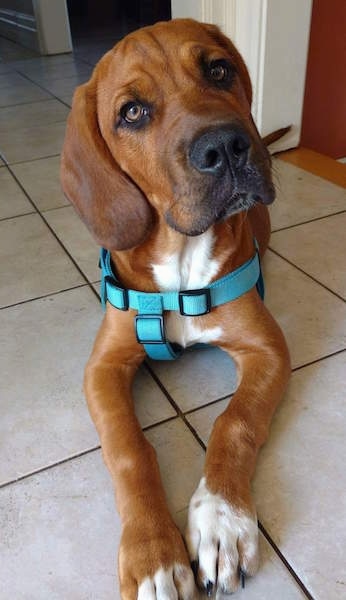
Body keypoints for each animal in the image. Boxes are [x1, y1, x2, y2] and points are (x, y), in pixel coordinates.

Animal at [60, 18, 290, 600]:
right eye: (132, 112)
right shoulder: (104, 366)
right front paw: (153, 554)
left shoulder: (267, 347)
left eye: (219, 70)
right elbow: (129, 448)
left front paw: (222, 520)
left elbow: (235, 422)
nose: (226, 147)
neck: (183, 257)